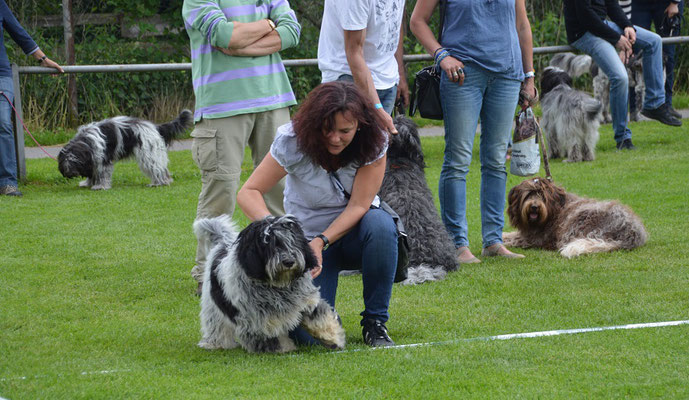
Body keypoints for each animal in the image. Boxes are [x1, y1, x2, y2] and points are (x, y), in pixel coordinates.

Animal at [56, 109, 189, 191]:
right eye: (65, 161)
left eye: (75, 161)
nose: (70, 173)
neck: (86, 141)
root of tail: (154, 127)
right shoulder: (92, 161)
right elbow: (93, 173)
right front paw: (88, 183)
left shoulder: (102, 159)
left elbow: (102, 173)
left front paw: (100, 186)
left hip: (149, 154)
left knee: (157, 168)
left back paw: (159, 182)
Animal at [192, 216, 344, 354]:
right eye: (269, 244)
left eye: (293, 242)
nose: (289, 262)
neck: (277, 285)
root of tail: (223, 244)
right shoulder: (258, 319)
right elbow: (270, 336)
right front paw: (283, 348)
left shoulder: (306, 301)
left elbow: (320, 319)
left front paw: (334, 338)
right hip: (213, 306)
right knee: (216, 324)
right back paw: (216, 343)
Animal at [502, 177, 648, 258]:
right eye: (528, 195)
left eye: (542, 196)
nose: (534, 207)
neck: (553, 211)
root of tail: (631, 233)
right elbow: (507, 234)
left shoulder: (534, 238)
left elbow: (511, 239)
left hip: (579, 220)